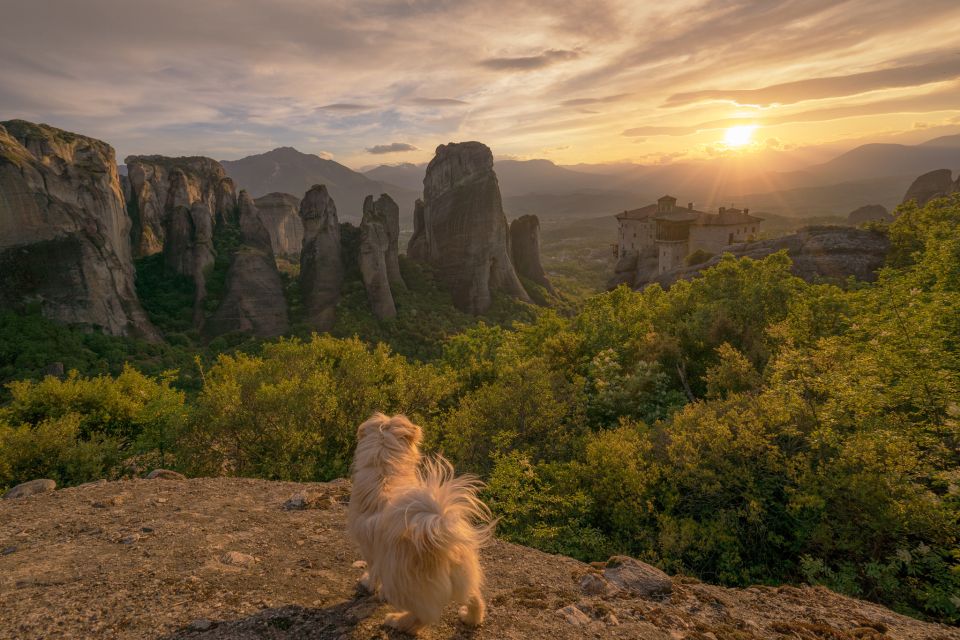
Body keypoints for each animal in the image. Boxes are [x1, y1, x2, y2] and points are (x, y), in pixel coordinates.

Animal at [346, 412, 496, 632]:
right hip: (464, 576)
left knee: (423, 616)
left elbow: (373, 571)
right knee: (474, 598)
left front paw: (367, 583)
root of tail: (439, 536)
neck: (385, 472)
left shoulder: (371, 549)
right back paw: (470, 618)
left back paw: (397, 621)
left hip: (404, 586)